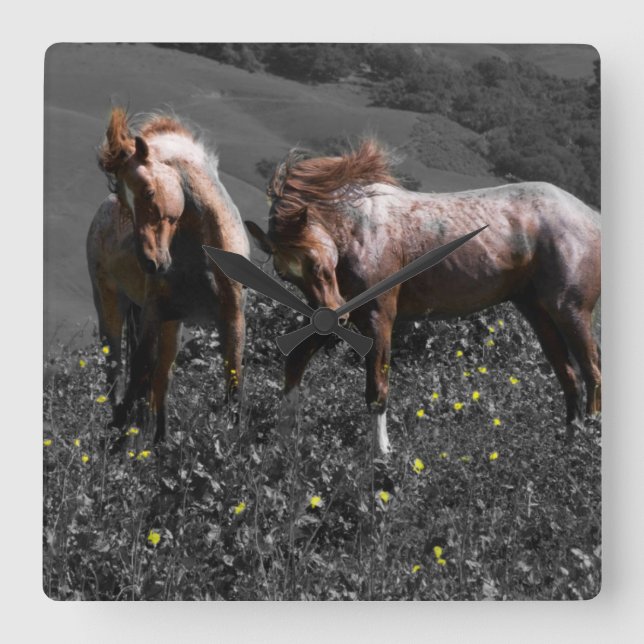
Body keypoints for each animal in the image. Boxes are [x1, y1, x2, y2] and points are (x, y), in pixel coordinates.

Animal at [87, 108, 249, 447]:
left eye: (148, 192)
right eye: (124, 201)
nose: (150, 263)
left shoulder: (233, 318)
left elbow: (233, 381)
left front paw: (234, 442)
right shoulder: (152, 313)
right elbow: (139, 370)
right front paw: (122, 438)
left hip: (173, 324)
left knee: (163, 376)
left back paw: (162, 438)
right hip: (111, 306)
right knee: (116, 371)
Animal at [245, 140, 601, 455]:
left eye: (316, 262)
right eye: (285, 275)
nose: (330, 316)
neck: (361, 230)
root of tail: (589, 216)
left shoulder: (378, 319)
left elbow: (377, 389)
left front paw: (381, 455)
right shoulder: (344, 317)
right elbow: (294, 363)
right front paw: (281, 442)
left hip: (570, 311)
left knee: (592, 371)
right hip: (539, 314)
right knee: (571, 377)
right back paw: (570, 443)